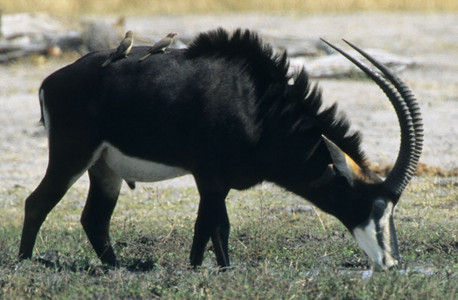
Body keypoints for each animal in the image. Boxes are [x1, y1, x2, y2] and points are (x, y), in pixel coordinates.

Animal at [19, 29, 424, 270]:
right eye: (373, 206)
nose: (391, 263)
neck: (259, 106)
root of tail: (50, 81)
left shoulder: (220, 183)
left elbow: (214, 228)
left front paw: (213, 268)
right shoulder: (209, 178)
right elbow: (212, 226)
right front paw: (204, 270)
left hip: (105, 169)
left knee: (95, 219)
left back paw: (117, 269)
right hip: (72, 156)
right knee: (37, 203)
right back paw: (24, 262)